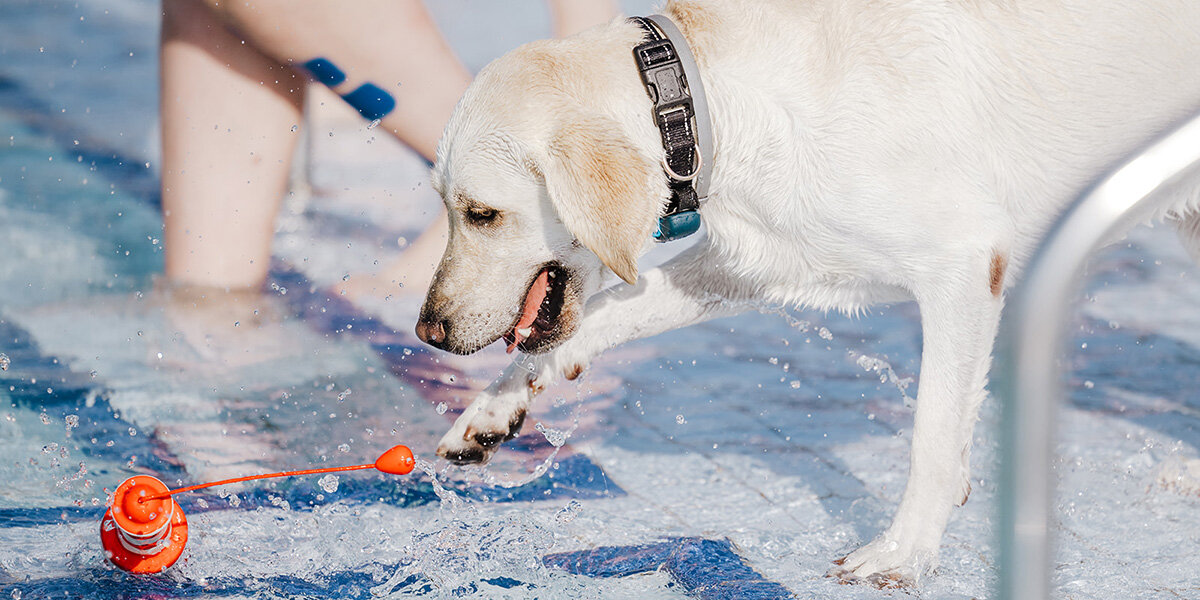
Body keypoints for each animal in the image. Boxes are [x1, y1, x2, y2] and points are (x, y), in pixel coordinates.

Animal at [417, 0, 1200, 583]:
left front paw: (904, 553)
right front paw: (491, 411)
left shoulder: (965, 263)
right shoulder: (753, 259)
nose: (428, 331)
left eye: (481, 213)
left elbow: (932, 430)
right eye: (445, 205)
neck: (705, 97)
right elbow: (596, 317)